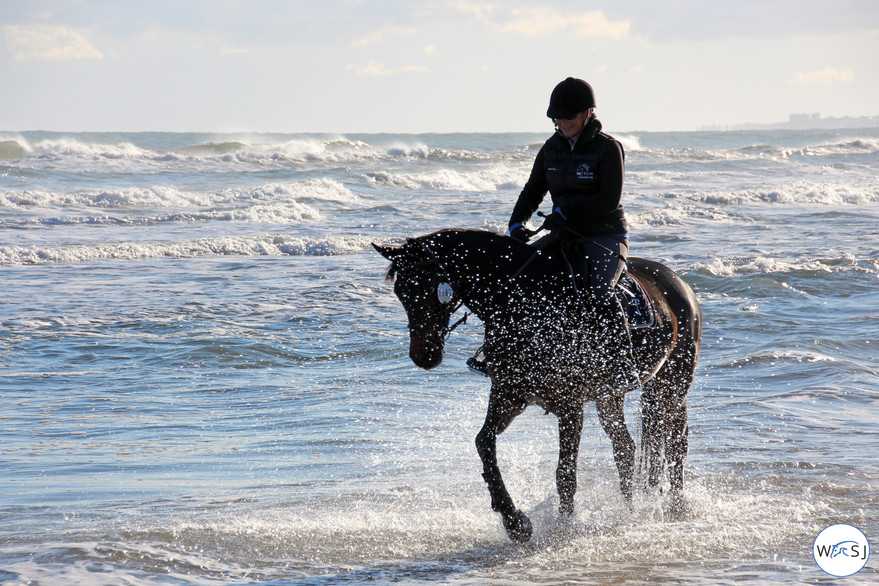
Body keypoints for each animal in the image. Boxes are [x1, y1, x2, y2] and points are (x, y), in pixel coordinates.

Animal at [374, 228, 704, 544]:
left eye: (429, 287)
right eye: (401, 291)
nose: (423, 356)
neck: (523, 301)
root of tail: (679, 282)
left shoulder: (570, 406)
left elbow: (565, 473)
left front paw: (564, 526)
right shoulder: (509, 396)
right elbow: (484, 444)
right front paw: (514, 521)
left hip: (672, 385)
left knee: (676, 443)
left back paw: (676, 508)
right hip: (610, 397)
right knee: (625, 447)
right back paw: (627, 510)